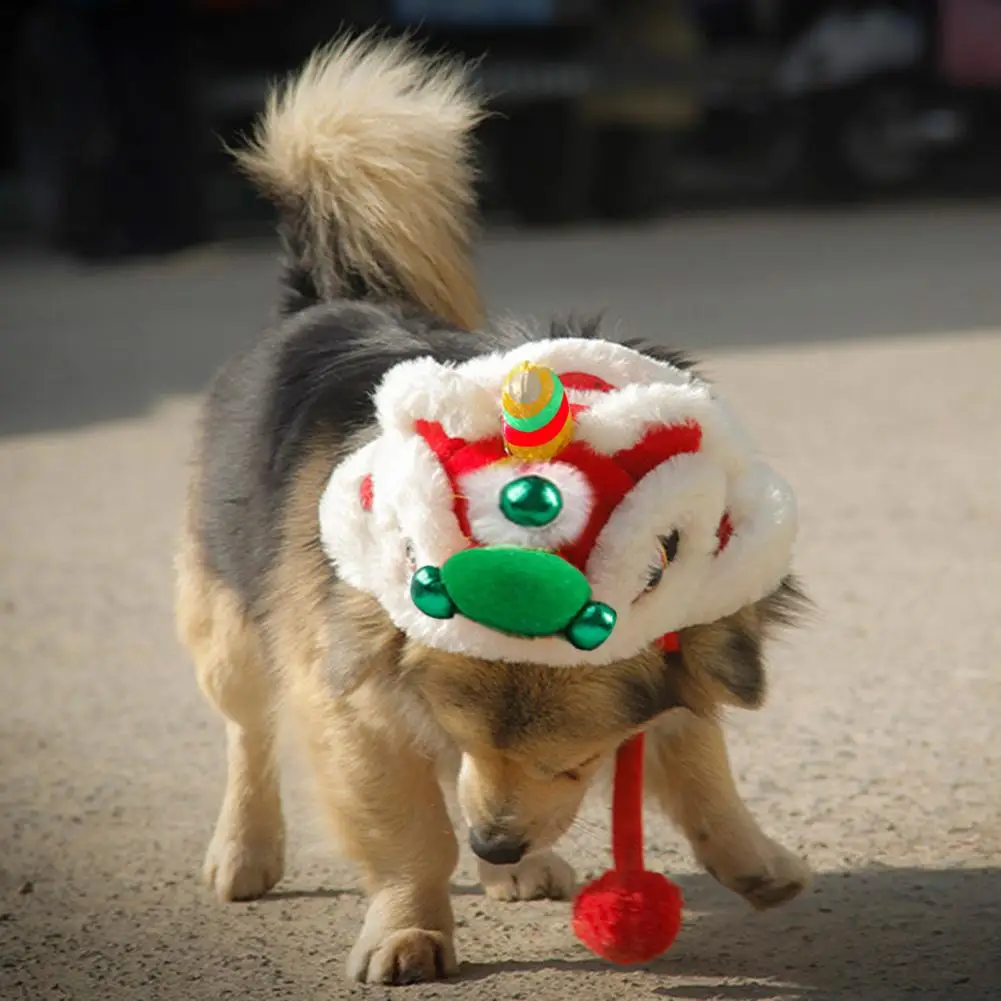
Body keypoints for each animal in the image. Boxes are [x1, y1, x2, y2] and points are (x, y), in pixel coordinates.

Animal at [174, 33, 812, 984]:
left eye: (577, 759)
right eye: (463, 727)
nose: (496, 842)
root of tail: (323, 294)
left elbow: (699, 764)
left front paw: (752, 858)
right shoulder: (352, 700)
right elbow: (409, 831)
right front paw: (409, 927)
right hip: (229, 626)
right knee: (247, 731)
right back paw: (246, 848)